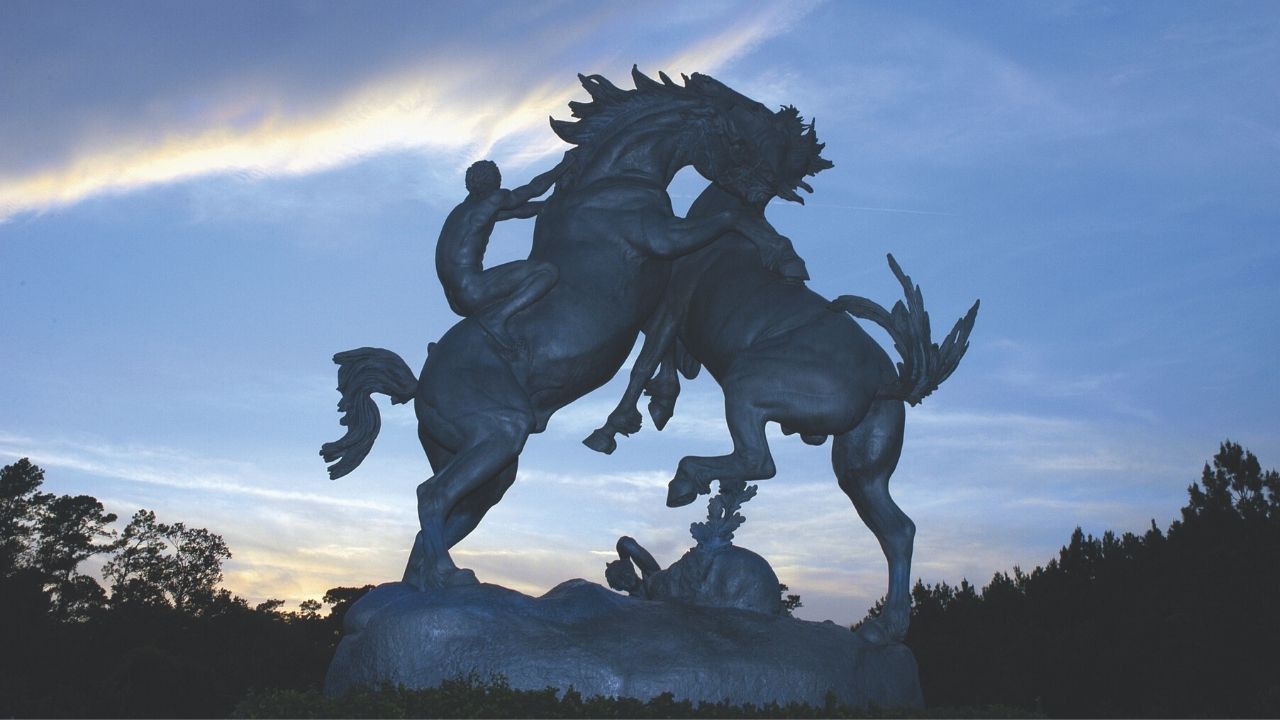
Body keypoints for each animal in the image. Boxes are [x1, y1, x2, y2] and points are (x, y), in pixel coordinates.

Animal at [318, 68, 819, 589]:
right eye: (739, 136)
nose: (770, 185)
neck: (618, 178)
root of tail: (419, 385)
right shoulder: (662, 239)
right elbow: (727, 219)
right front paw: (786, 258)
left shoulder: (660, 290)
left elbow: (655, 350)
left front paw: (643, 412)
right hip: (500, 432)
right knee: (430, 495)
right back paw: (449, 575)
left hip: (489, 469)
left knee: (444, 516)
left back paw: (429, 581)